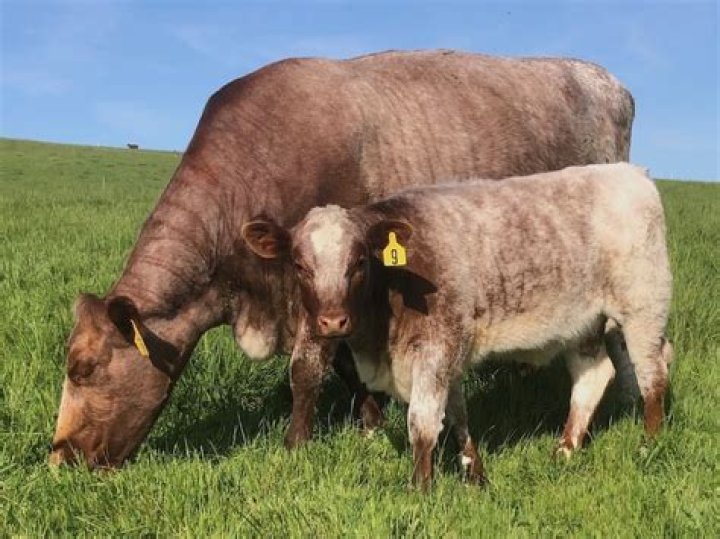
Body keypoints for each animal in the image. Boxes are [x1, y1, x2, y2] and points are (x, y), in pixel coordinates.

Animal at [50, 50, 635, 468]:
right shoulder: (331, 295)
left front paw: (294, 445)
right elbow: (348, 365)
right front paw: (371, 423)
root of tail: (605, 78)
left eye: (82, 369)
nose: (58, 458)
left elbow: (306, 369)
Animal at [242, 163, 673, 488]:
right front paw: (474, 473)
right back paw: (565, 449)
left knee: (652, 374)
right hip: (583, 323)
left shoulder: (436, 348)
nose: (332, 321)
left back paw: (648, 446)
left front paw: (420, 488)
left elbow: (423, 422)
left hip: (644, 306)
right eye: (299, 265)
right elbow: (457, 413)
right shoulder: (448, 352)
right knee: (593, 374)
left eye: (360, 261)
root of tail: (631, 172)